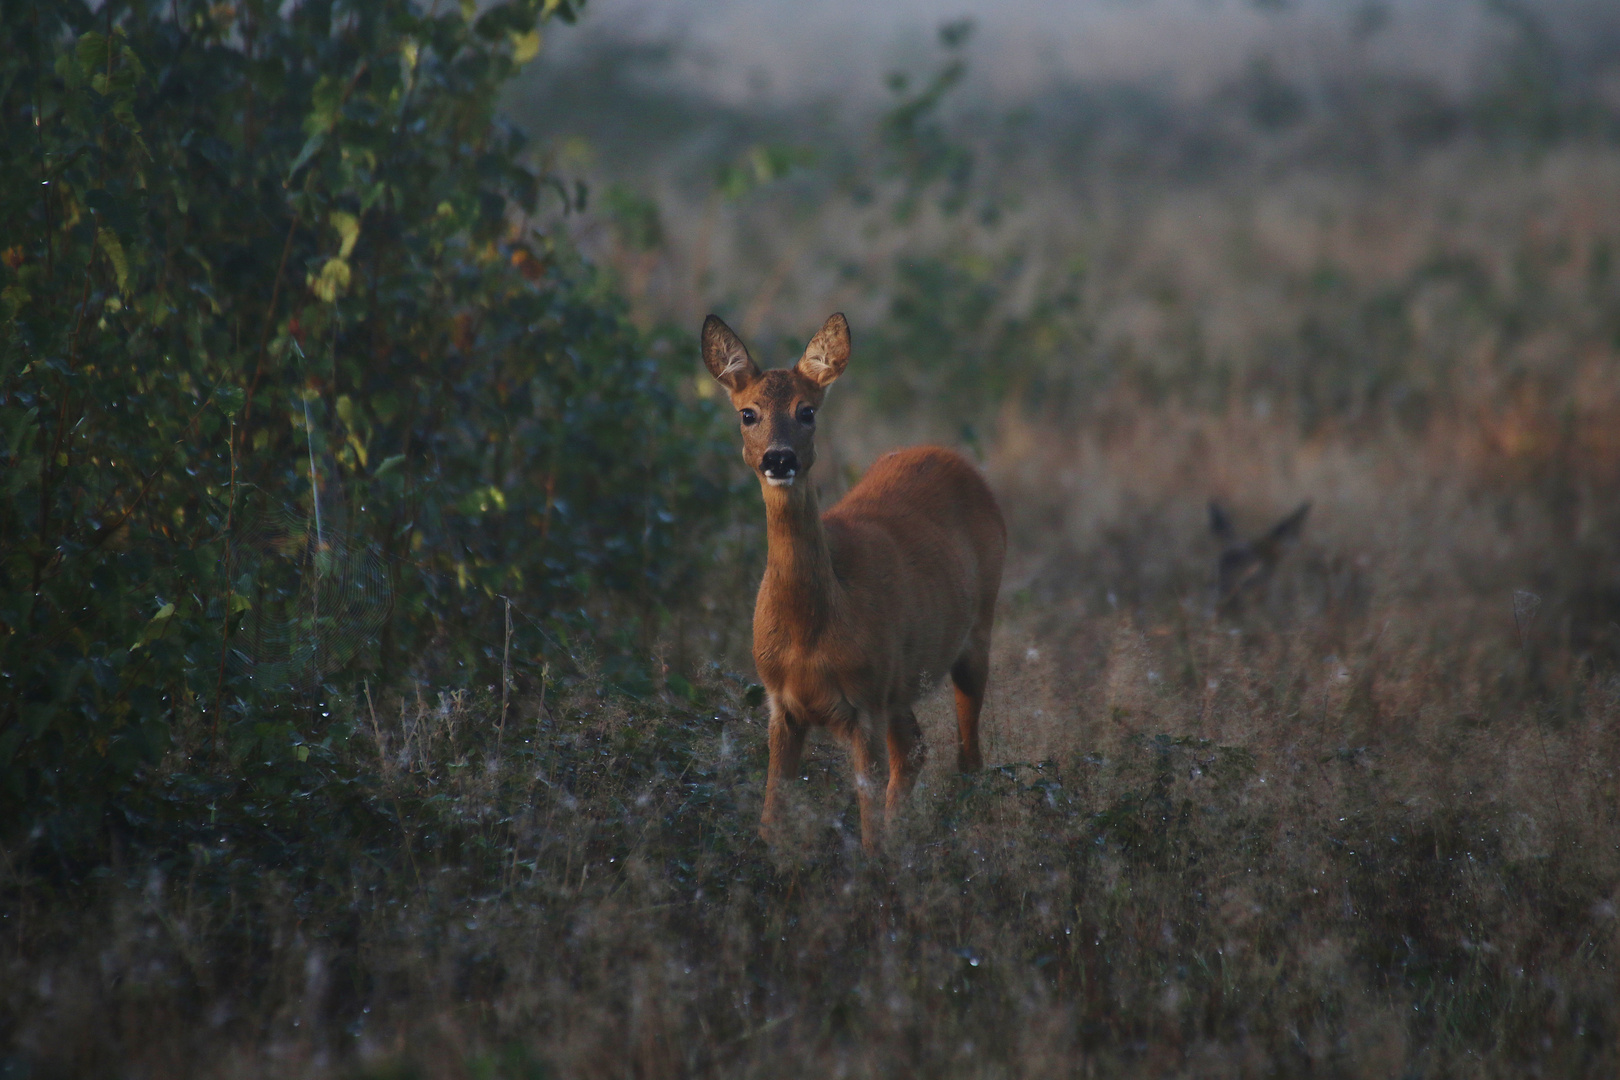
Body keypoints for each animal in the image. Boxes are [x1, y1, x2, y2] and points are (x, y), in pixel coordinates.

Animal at [703, 310, 1004, 854]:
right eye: (748, 413)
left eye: (806, 411)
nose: (779, 458)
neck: (811, 632)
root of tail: (952, 456)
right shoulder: (782, 703)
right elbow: (771, 811)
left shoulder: (865, 700)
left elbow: (868, 823)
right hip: (902, 683)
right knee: (916, 750)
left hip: (975, 634)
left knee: (967, 755)